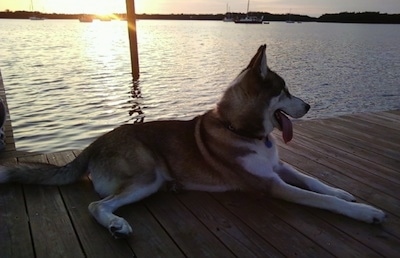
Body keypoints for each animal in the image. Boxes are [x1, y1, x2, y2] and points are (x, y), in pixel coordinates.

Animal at [0, 44, 388, 238]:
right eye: (284, 91)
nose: (309, 105)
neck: (240, 129)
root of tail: (95, 143)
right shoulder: (270, 184)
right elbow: (319, 199)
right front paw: (366, 212)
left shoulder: (277, 166)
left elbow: (314, 180)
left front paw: (342, 191)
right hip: (147, 176)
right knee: (98, 205)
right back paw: (116, 224)